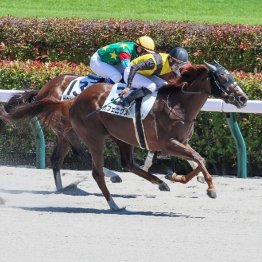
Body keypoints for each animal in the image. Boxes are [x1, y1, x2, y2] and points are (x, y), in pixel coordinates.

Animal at [2, 61, 248, 211]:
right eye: (223, 77)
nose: (243, 98)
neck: (178, 104)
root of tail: (71, 100)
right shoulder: (169, 143)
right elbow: (199, 159)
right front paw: (210, 189)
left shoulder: (178, 143)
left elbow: (197, 160)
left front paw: (177, 177)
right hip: (89, 135)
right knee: (92, 166)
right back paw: (113, 202)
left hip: (118, 136)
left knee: (124, 163)